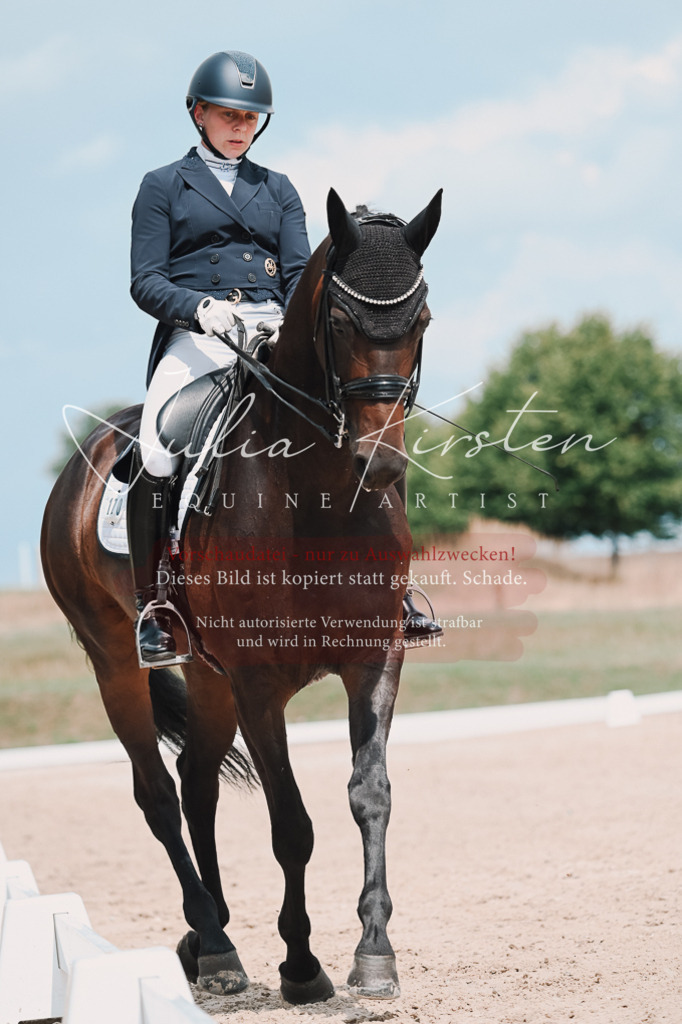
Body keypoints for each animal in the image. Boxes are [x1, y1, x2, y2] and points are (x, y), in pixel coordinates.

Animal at [40, 187, 442, 1004]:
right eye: (341, 322)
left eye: (420, 320)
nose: (380, 464)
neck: (317, 495)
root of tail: (85, 456)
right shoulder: (259, 683)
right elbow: (292, 824)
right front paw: (302, 965)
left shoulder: (375, 659)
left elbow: (371, 795)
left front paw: (374, 952)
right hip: (116, 661)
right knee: (158, 794)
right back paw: (219, 944)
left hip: (205, 674)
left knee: (198, 785)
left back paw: (208, 943)